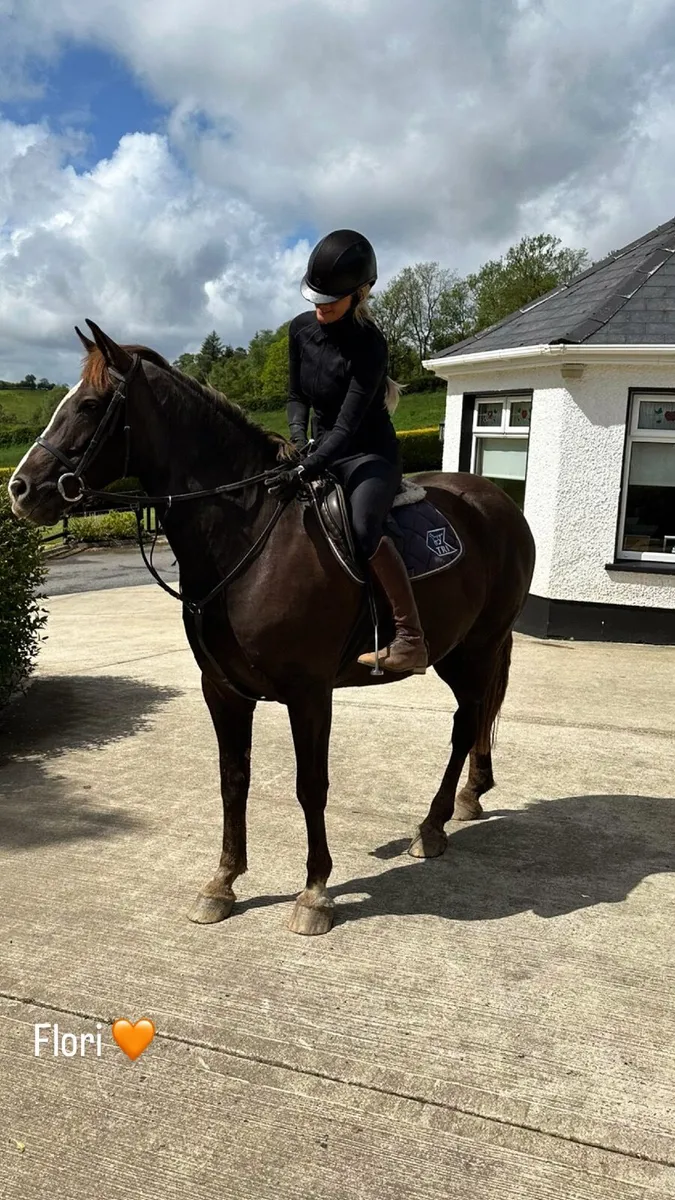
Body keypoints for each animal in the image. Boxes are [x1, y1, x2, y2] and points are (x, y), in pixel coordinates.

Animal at [8, 320, 536, 936]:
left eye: (90, 405)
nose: (20, 490)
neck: (252, 534)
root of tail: (500, 501)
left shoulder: (309, 692)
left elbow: (311, 785)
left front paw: (315, 892)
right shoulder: (223, 690)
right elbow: (232, 779)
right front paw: (223, 882)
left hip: (474, 650)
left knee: (465, 723)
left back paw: (433, 825)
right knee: (473, 720)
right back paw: (468, 799)